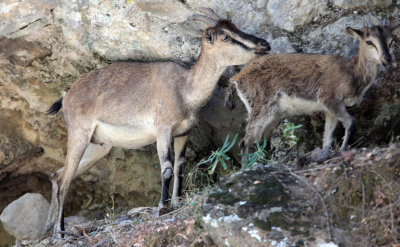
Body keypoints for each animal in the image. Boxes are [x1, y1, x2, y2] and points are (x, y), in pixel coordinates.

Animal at [227, 21, 398, 156]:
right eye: (369, 41)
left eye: (391, 40)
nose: (387, 59)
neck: (352, 72)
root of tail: (236, 79)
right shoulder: (330, 98)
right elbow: (351, 122)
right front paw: (343, 149)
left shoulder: (330, 110)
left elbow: (327, 139)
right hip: (261, 106)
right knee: (246, 141)